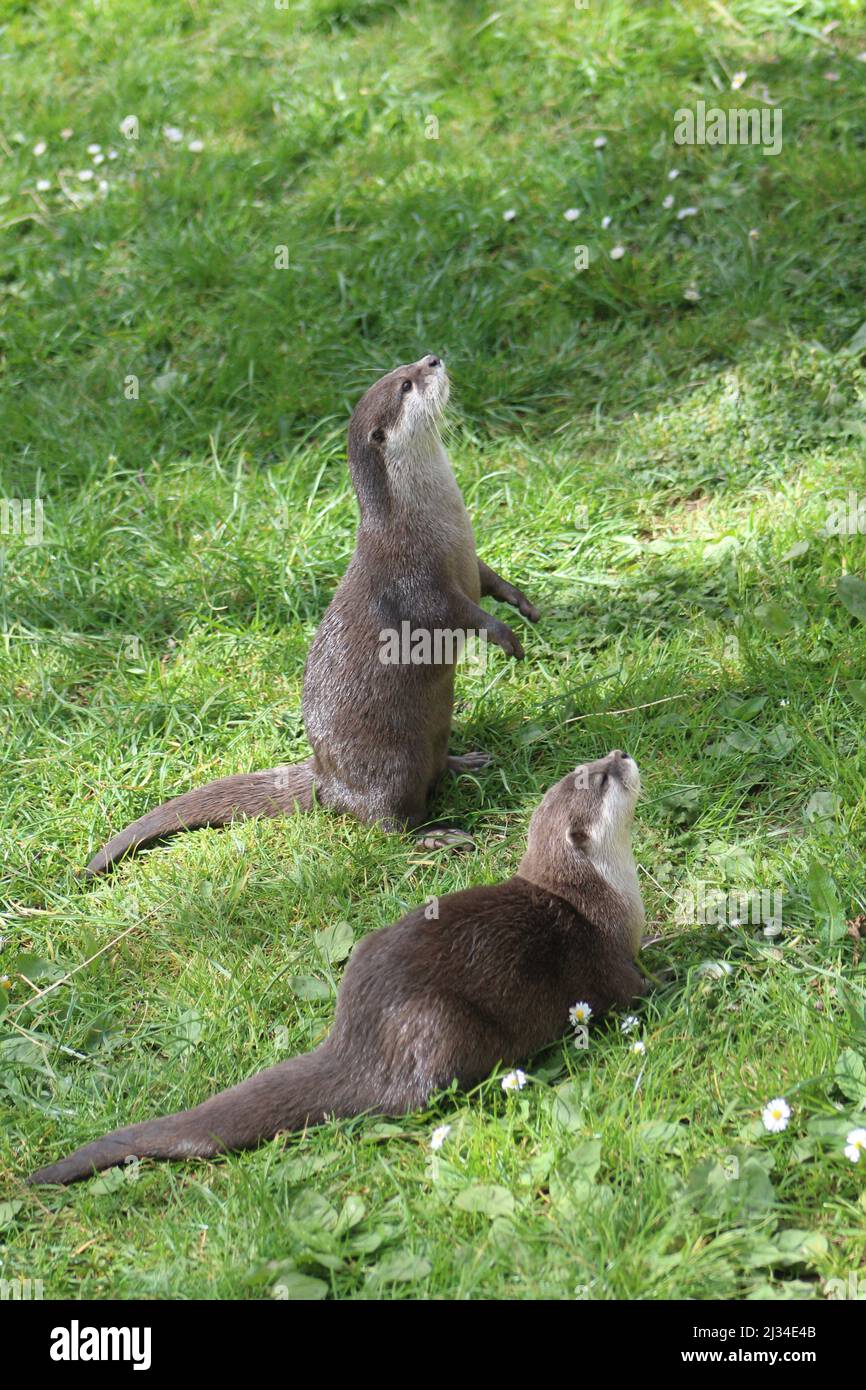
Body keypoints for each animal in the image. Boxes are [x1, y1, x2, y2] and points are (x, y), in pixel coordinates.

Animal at [30, 750, 647, 1184]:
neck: (601, 892)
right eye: (600, 781)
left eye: (588, 768)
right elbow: (637, 989)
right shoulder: (609, 957)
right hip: (440, 1025)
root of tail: (357, 1041)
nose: (620, 754)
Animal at [86, 358, 536, 878]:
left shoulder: (468, 562)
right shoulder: (415, 579)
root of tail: (325, 778)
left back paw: (466, 762)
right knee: (386, 824)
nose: (432, 359)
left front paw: (523, 603)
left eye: (406, 368)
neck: (432, 523)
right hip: (390, 766)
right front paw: (506, 636)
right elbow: (456, 615)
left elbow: (489, 580)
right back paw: (437, 837)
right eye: (406, 384)